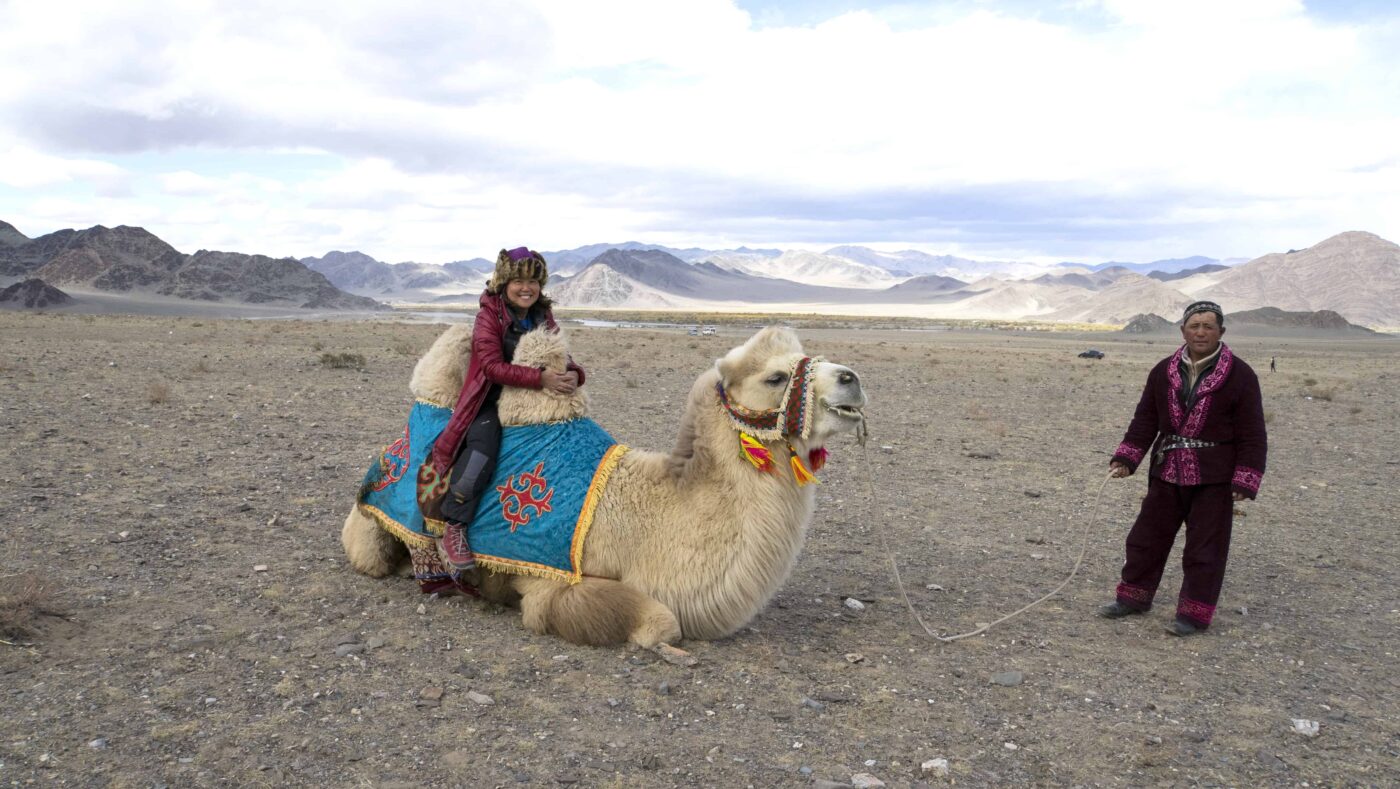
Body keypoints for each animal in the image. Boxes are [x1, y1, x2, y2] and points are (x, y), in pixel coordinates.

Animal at [342, 325, 867, 647]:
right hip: (373, 526)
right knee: (371, 552)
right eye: (776, 377)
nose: (852, 378)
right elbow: (663, 622)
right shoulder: (553, 584)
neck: (654, 516)